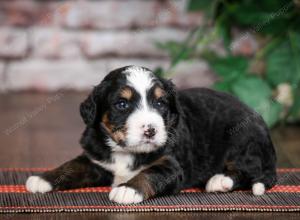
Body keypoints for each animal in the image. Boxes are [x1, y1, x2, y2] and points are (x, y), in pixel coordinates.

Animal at [25, 65, 276, 205]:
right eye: (122, 104)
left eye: (160, 103)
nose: (151, 130)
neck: (126, 151)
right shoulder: (95, 160)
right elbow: (71, 166)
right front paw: (43, 179)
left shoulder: (171, 165)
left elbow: (149, 174)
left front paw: (127, 190)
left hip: (242, 139)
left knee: (248, 171)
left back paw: (219, 180)